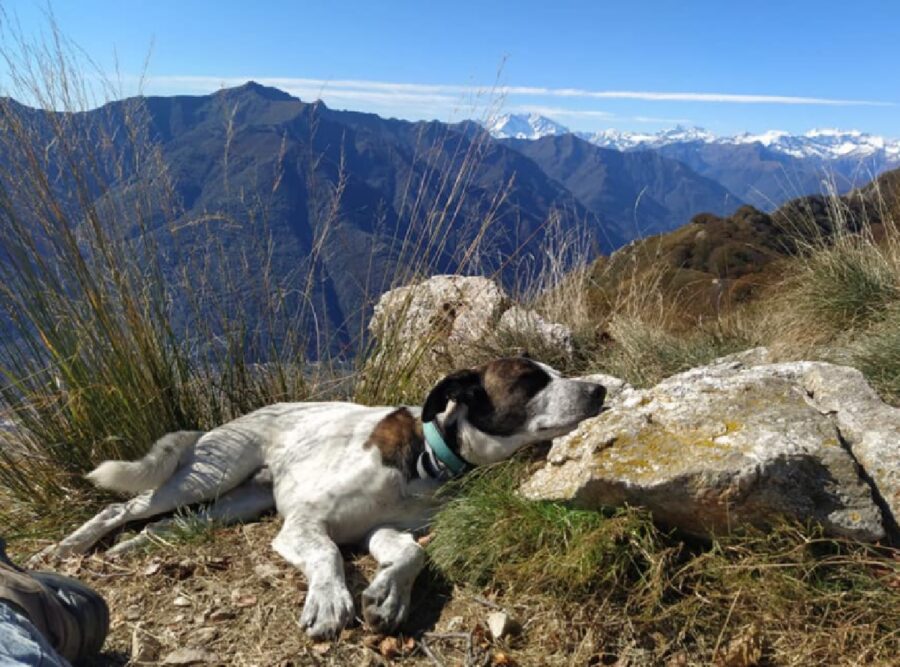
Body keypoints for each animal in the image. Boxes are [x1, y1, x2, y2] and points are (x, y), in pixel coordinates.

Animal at [40, 358, 604, 640]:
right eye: (530, 380)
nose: (599, 391)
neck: (429, 459)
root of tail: (220, 425)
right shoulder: (303, 524)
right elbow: (329, 554)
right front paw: (331, 601)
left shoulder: (386, 530)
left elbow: (411, 554)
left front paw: (388, 597)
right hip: (208, 476)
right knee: (123, 507)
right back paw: (69, 547)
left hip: (235, 503)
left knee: (168, 526)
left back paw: (130, 549)